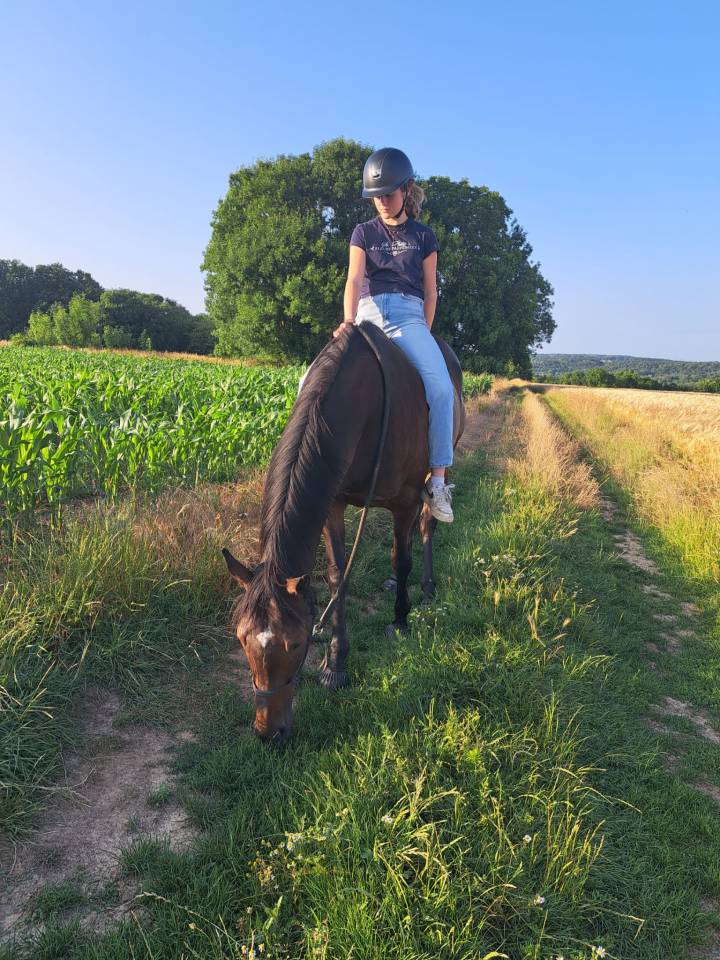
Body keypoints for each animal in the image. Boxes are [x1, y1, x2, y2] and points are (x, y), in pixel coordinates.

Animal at [222, 322, 465, 743]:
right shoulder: (332, 503)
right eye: (241, 639)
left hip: (437, 472)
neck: (366, 405)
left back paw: (427, 585)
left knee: (425, 528)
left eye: (297, 643)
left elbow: (402, 559)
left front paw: (401, 620)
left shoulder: (404, 501)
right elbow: (338, 576)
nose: (269, 734)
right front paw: (336, 663)